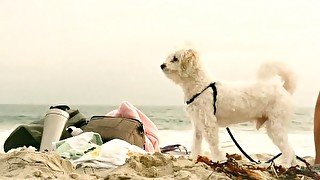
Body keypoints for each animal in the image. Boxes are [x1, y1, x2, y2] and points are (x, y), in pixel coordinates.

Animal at [160, 48, 298, 166]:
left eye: (175, 58)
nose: (162, 65)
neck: (201, 86)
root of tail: (283, 89)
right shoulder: (198, 125)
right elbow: (196, 144)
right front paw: (193, 159)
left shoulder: (208, 124)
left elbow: (214, 144)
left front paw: (218, 160)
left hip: (276, 126)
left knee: (289, 150)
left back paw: (284, 164)